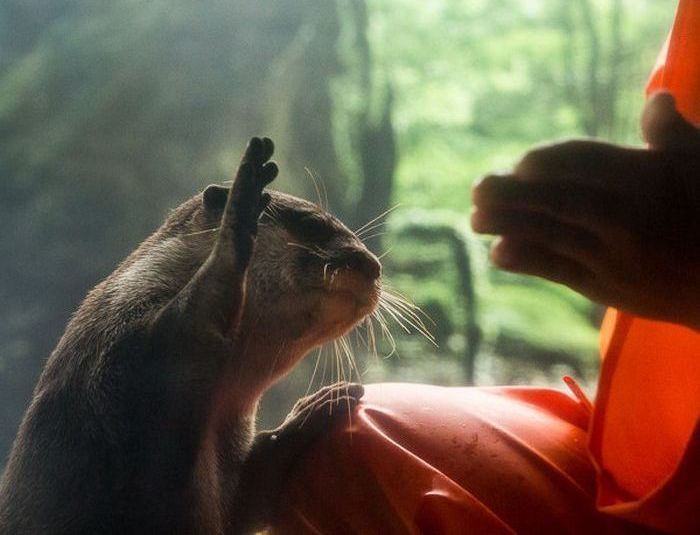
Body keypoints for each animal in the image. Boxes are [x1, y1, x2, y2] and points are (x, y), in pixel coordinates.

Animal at [0, 139, 382, 535]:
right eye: (312, 224)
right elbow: (184, 323)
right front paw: (240, 212)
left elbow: (248, 498)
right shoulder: (126, 347)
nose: (374, 266)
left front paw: (316, 409)